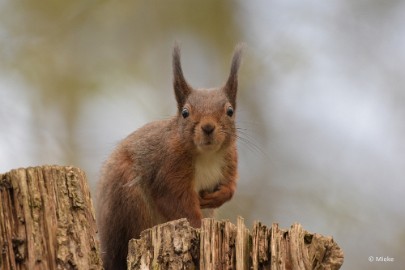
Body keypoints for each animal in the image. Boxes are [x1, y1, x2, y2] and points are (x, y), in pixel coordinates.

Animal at [97, 43, 243, 268]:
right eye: (185, 113)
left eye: (229, 111)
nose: (208, 127)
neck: (206, 155)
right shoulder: (169, 168)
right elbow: (177, 202)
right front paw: (197, 227)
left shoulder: (230, 160)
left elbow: (231, 187)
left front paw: (220, 195)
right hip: (128, 201)